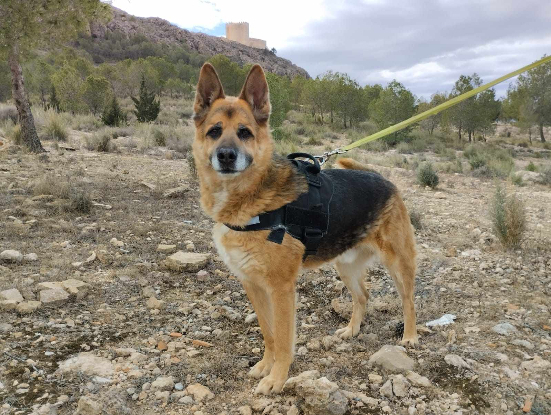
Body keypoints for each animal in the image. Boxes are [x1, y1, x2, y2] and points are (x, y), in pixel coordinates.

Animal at [192, 63, 418, 395]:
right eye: (214, 131)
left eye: (245, 132)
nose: (226, 156)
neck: (249, 199)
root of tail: (383, 179)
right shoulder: (253, 285)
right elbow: (269, 333)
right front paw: (266, 366)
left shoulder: (281, 288)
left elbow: (284, 338)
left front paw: (277, 379)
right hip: (345, 267)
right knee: (362, 296)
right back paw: (352, 329)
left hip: (398, 264)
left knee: (408, 299)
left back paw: (410, 336)